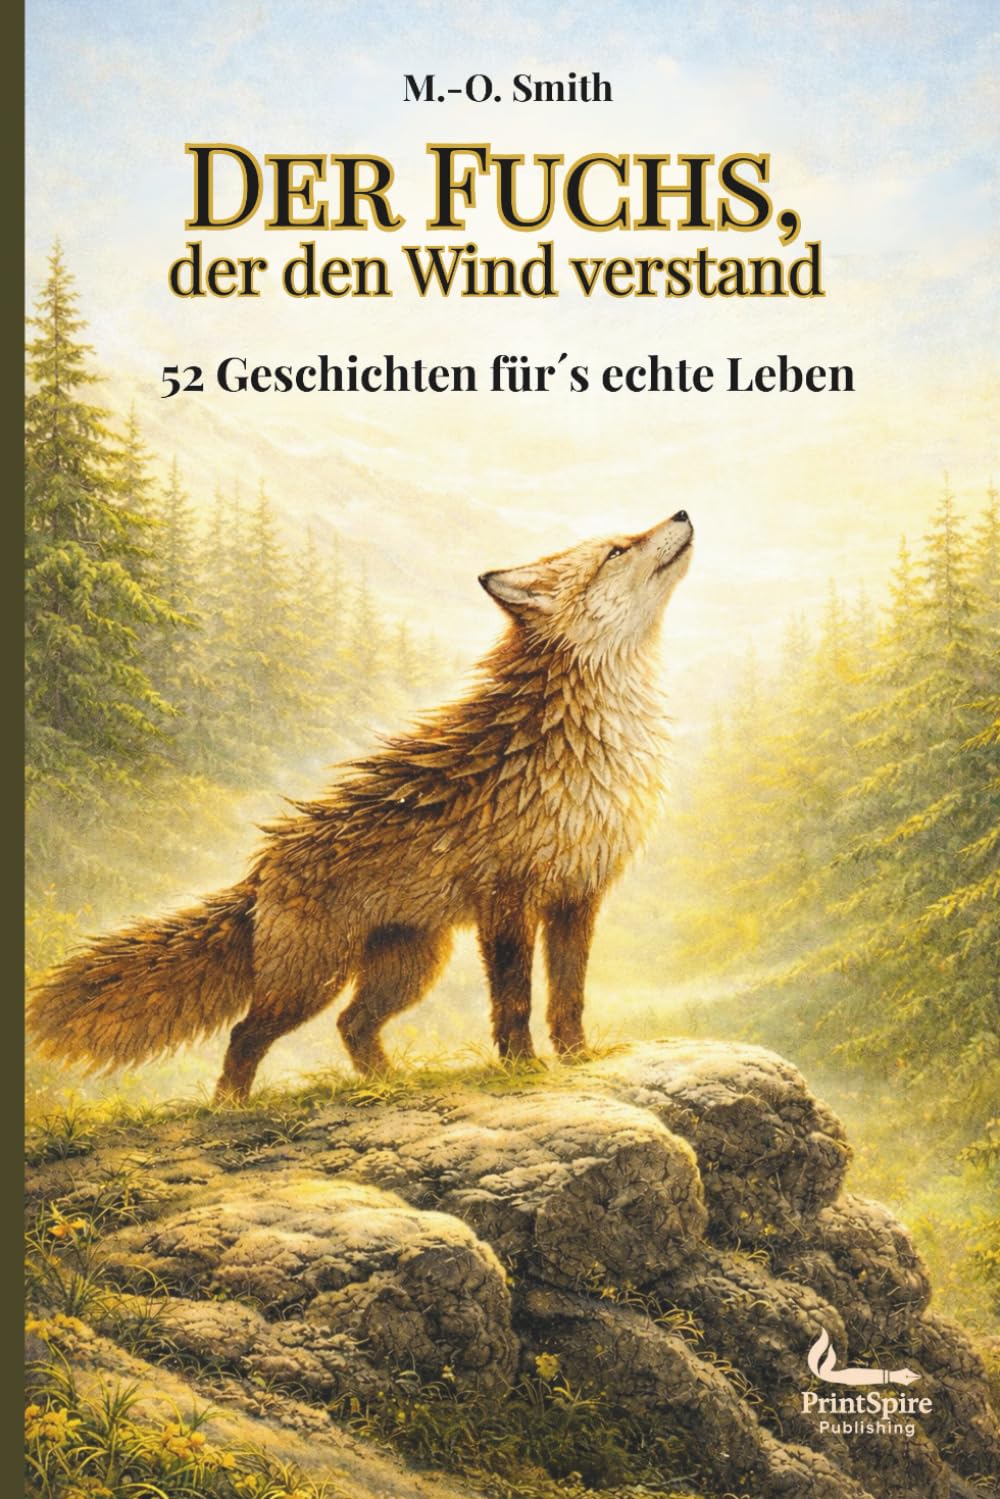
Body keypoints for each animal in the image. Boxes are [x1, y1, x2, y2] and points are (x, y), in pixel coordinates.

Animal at [29, 511, 694, 1101]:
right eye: (617, 550)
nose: (684, 512)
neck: (590, 737)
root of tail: (261, 870)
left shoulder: (578, 893)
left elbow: (569, 995)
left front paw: (579, 1057)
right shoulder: (506, 897)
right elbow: (513, 999)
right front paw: (522, 1068)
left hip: (410, 966)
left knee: (351, 1025)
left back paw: (389, 1084)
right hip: (312, 980)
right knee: (247, 1032)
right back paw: (230, 1106)